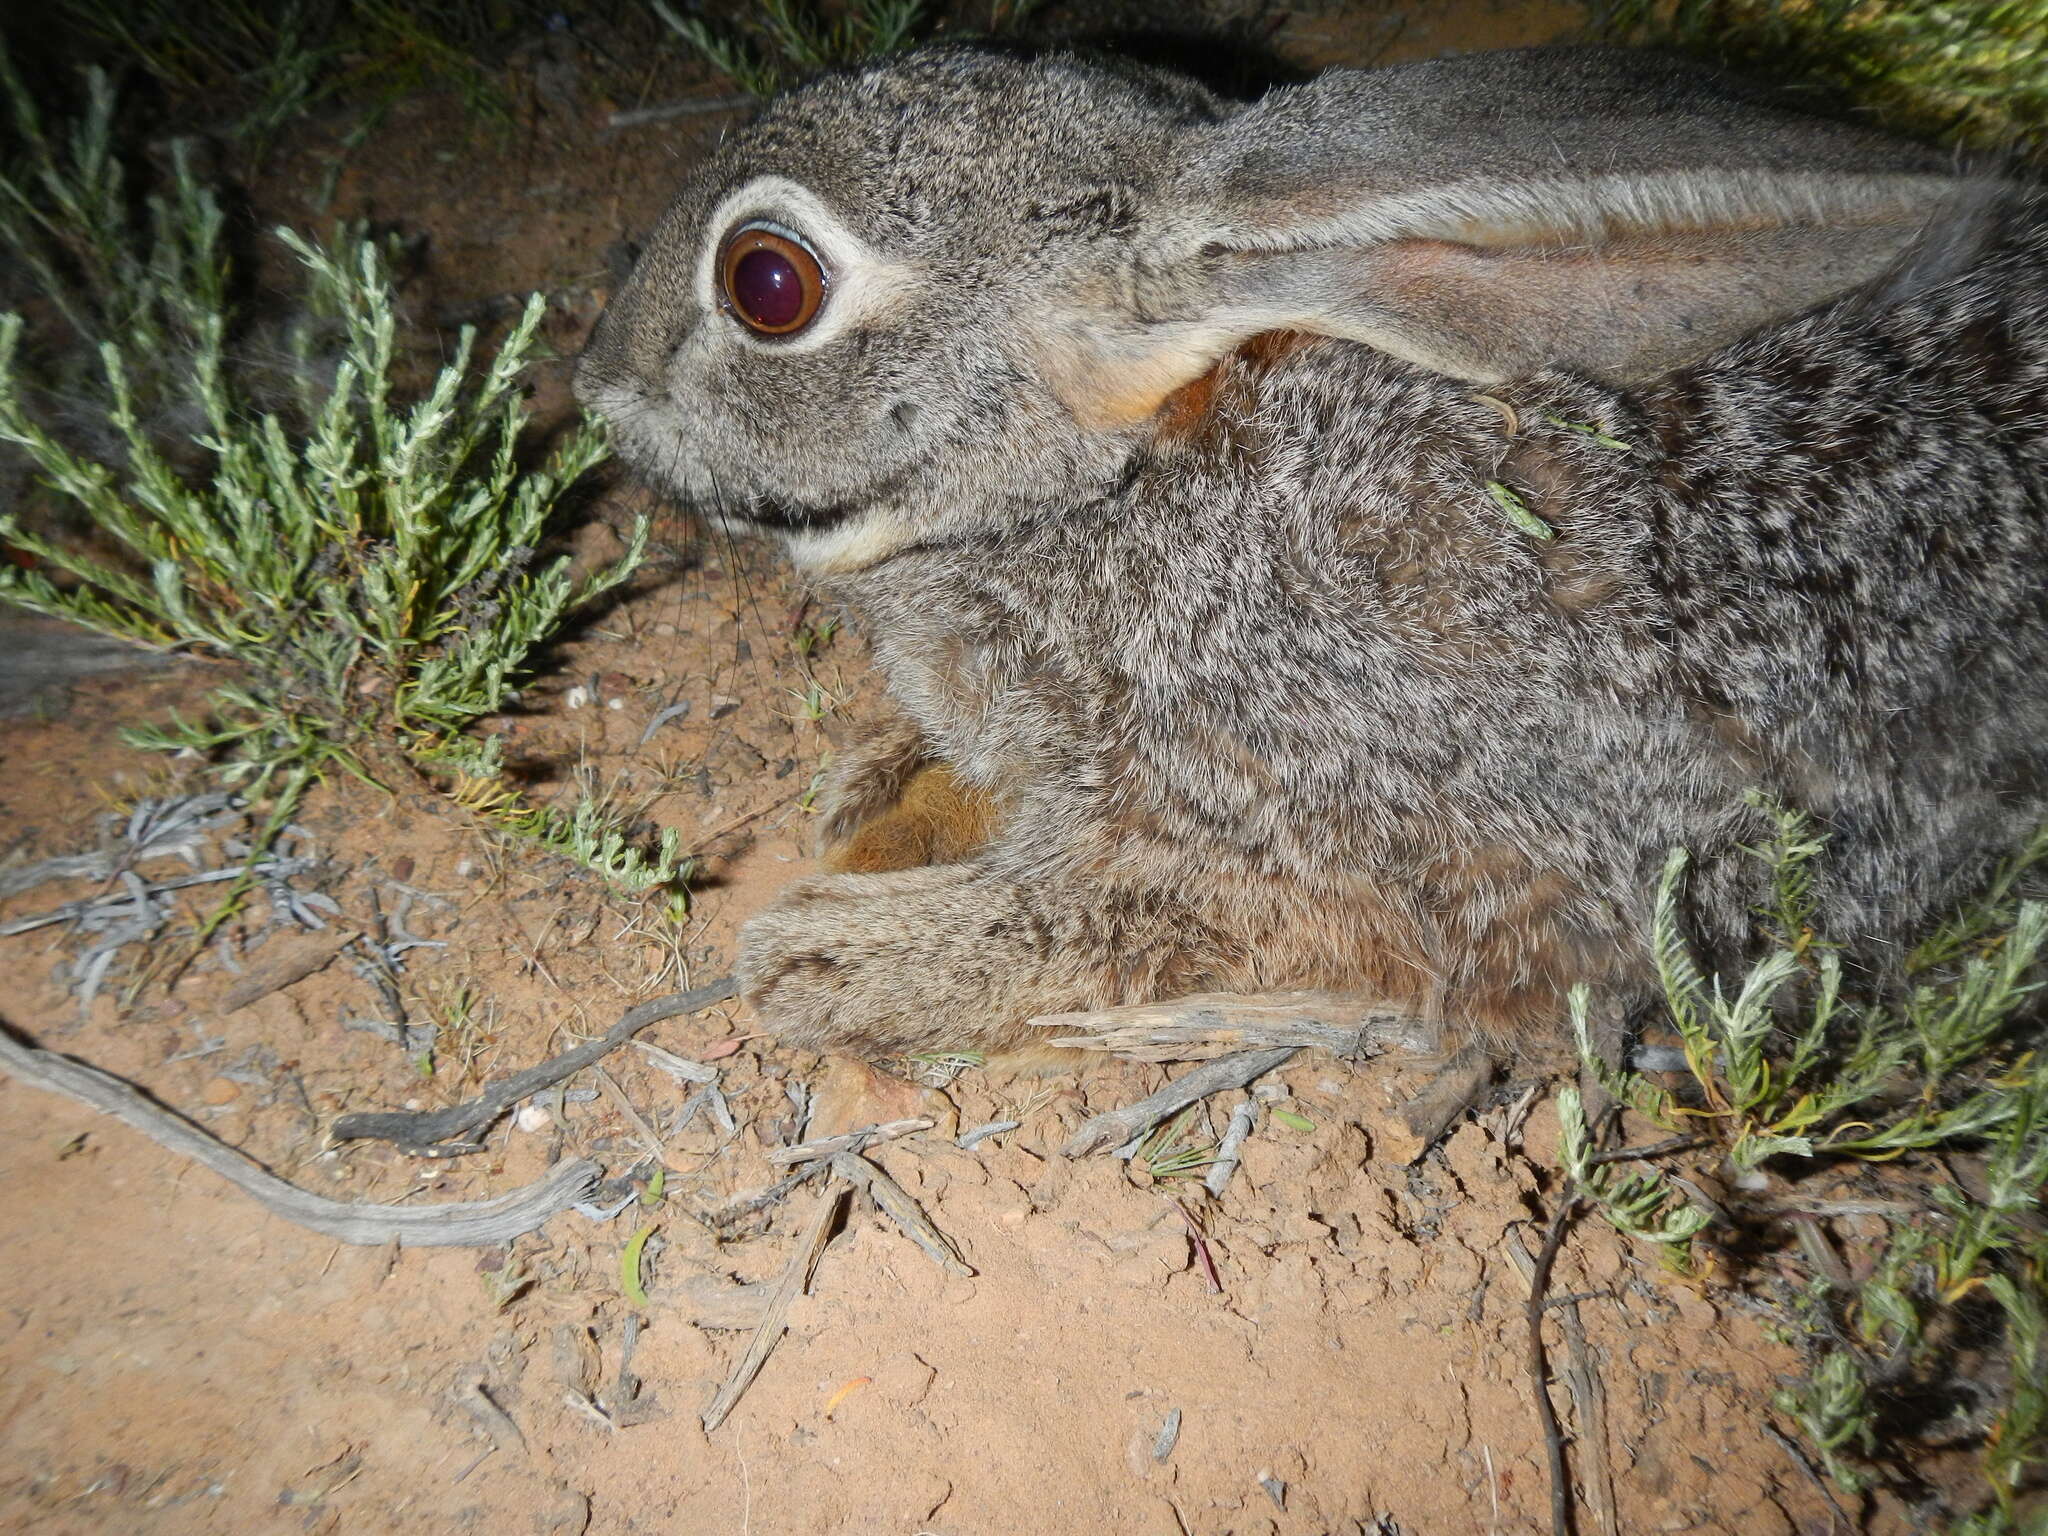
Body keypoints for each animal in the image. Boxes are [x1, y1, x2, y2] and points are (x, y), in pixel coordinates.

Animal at [577, 41, 2048, 1064]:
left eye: (767, 284)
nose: (597, 381)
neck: (1110, 486)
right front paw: (876, 790)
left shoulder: (1360, 838)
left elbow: (1115, 920)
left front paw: (832, 961)